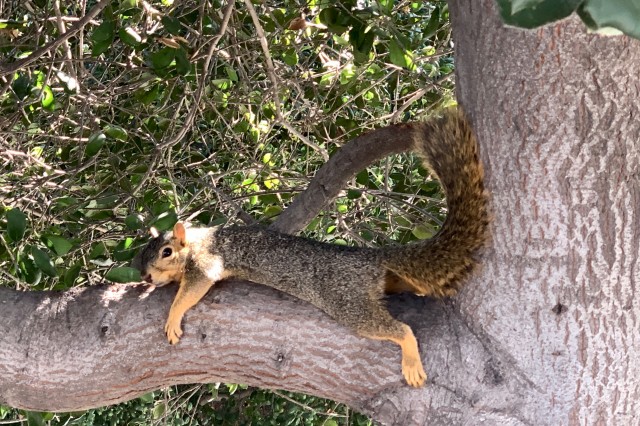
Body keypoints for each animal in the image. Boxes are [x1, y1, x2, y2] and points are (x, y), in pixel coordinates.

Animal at [132, 108, 488, 388]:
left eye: (165, 252)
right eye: (142, 253)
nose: (146, 276)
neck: (195, 241)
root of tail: (371, 258)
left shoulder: (207, 261)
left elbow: (194, 288)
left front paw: (173, 316)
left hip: (348, 302)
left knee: (399, 329)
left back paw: (410, 356)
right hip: (387, 284)